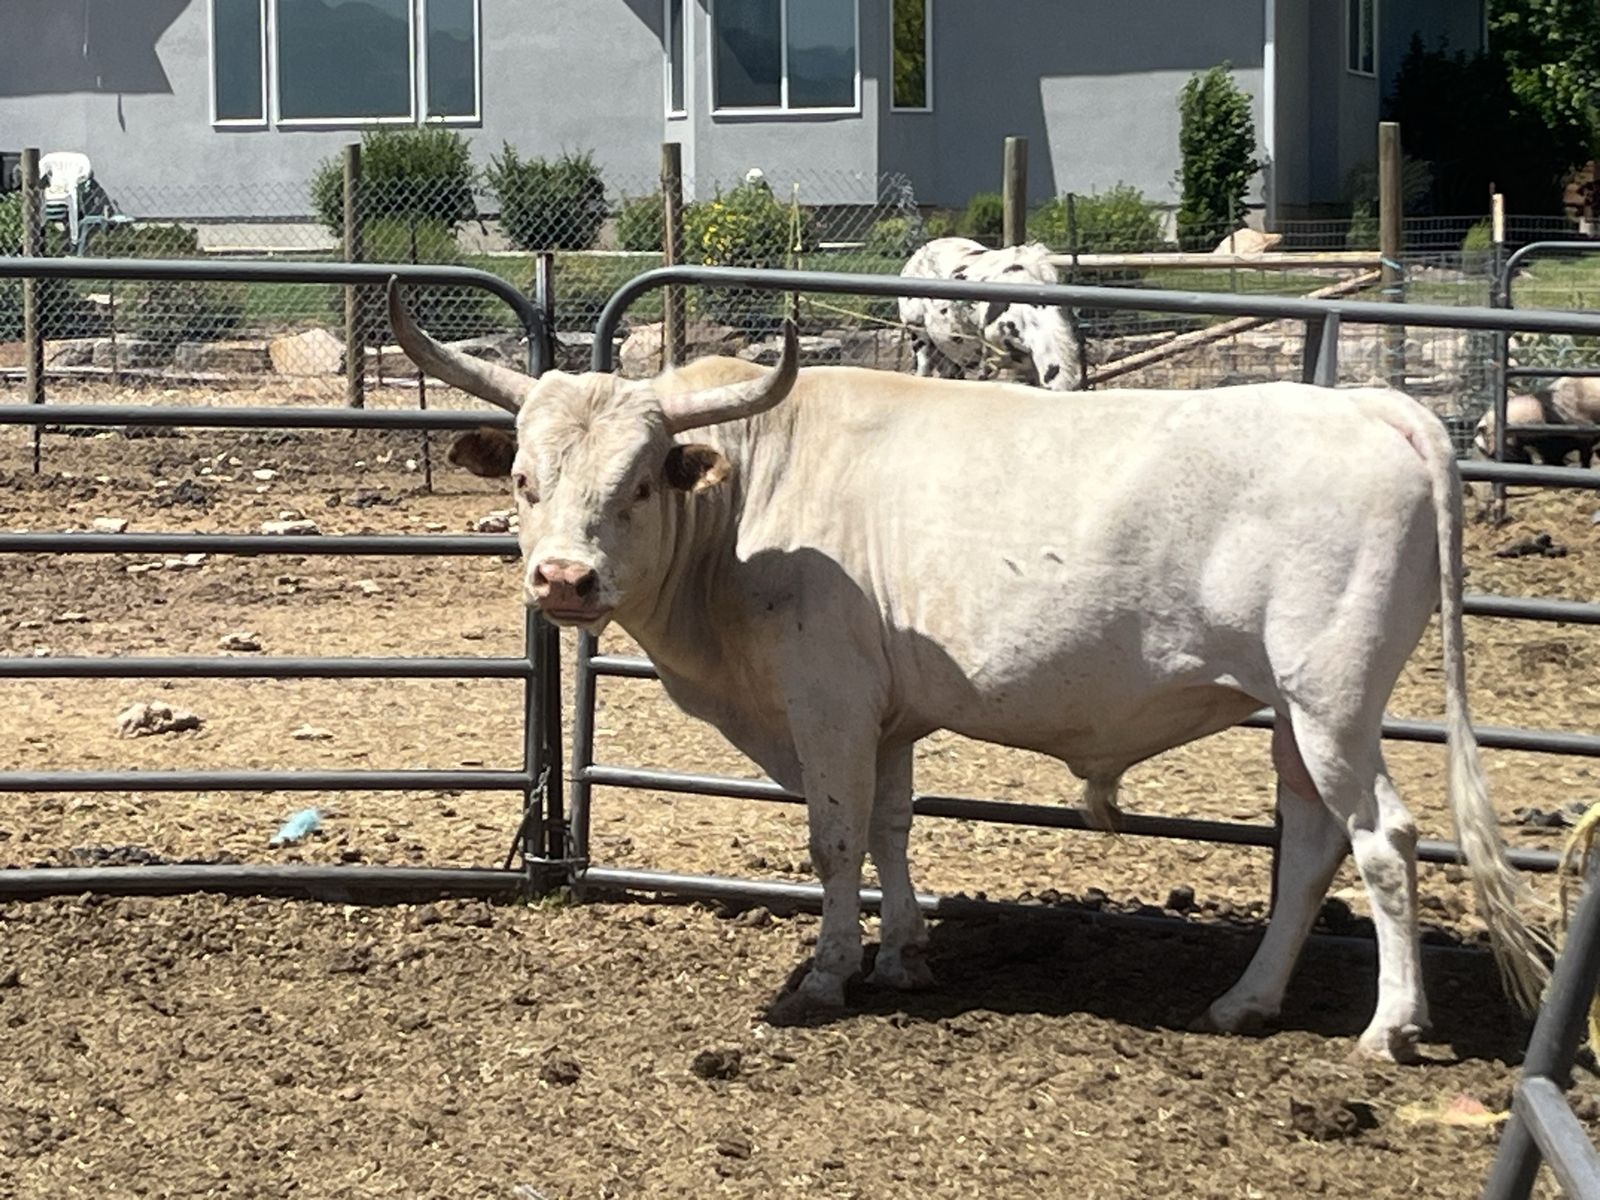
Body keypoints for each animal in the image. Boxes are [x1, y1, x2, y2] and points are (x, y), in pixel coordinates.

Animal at [388, 278, 1549, 1062]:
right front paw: (903, 954)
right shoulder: (890, 717)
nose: (563, 580)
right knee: (1310, 845)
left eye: (636, 483)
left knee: (1384, 839)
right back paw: (1245, 1002)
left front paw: (828, 973)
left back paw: (1389, 1028)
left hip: (1331, 696)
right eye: (526, 479)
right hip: (1294, 714)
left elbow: (836, 839)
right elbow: (894, 829)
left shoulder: (828, 704)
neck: (747, 505)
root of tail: (1374, 407)